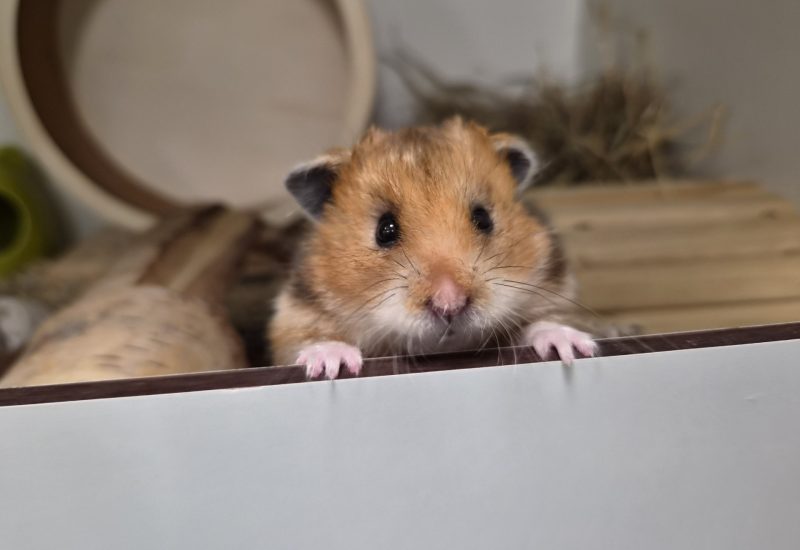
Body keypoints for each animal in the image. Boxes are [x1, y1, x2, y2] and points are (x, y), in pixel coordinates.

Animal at [268, 117, 595, 379]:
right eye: (385, 230)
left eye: (483, 218)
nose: (449, 304)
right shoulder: (295, 317)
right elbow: (314, 339)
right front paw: (329, 366)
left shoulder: (555, 290)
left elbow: (544, 322)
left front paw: (572, 348)